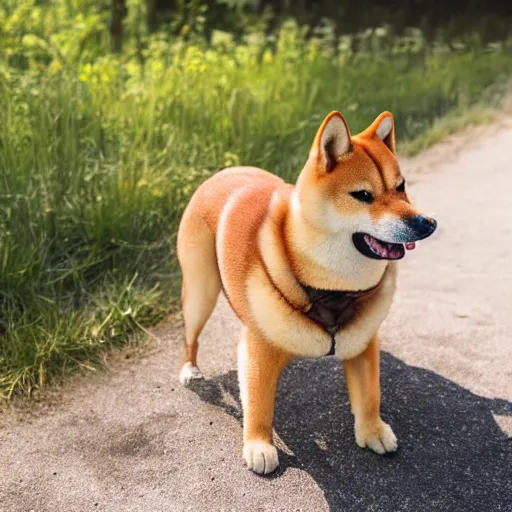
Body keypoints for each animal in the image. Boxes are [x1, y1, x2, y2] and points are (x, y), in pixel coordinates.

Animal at [176, 112, 436, 476]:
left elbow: (370, 393)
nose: (426, 223)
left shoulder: (364, 344)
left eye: (401, 186)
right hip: (200, 292)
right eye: (363, 195)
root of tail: (223, 172)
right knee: (191, 335)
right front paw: (258, 445)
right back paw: (190, 369)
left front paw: (372, 430)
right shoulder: (258, 348)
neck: (333, 290)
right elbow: (258, 403)